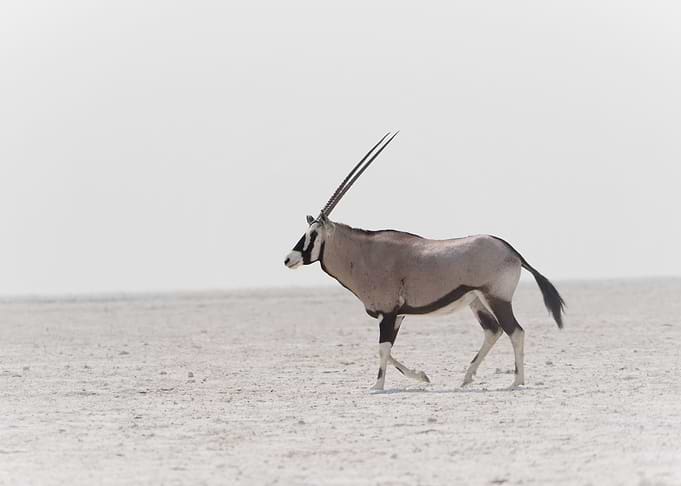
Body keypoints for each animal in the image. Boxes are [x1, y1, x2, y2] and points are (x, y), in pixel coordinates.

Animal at [284, 133, 565, 391]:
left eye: (313, 234)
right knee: (493, 330)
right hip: (477, 301)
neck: (363, 254)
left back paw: (516, 381)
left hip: (497, 298)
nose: (288, 259)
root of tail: (513, 252)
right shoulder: (396, 315)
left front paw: (377, 385)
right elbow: (387, 350)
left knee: (515, 331)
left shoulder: (387, 313)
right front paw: (421, 376)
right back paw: (467, 378)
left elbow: (382, 349)